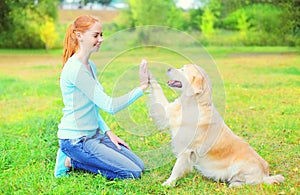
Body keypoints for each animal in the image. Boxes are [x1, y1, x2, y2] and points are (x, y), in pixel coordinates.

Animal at [149, 64, 284, 187]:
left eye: (183, 70)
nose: (168, 68)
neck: (193, 103)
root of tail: (265, 174)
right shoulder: (167, 112)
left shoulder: (186, 149)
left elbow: (176, 169)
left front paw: (168, 183)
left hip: (239, 166)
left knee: (252, 182)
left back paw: (235, 184)